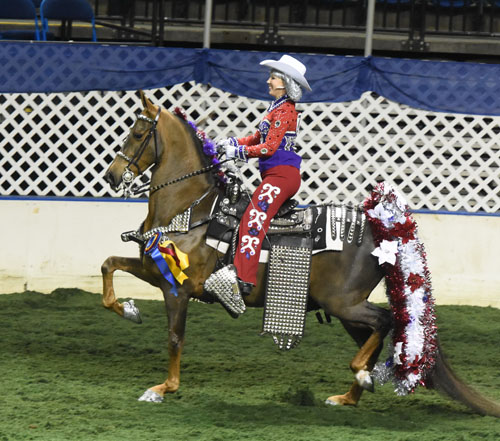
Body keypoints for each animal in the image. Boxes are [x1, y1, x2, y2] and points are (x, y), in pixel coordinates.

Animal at [100, 90, 500, 416]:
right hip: (346, 310)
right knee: (377, 333)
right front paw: (130, 310)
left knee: (384, 321)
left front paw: (163, 388)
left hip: (343, 303)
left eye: (138, 134)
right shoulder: (154, 270)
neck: (193, 210)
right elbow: (109, 266)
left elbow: (174, 337)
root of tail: (379, 229)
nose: (112, 175)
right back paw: (350, 394)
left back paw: (361, 376)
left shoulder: (177, 288)